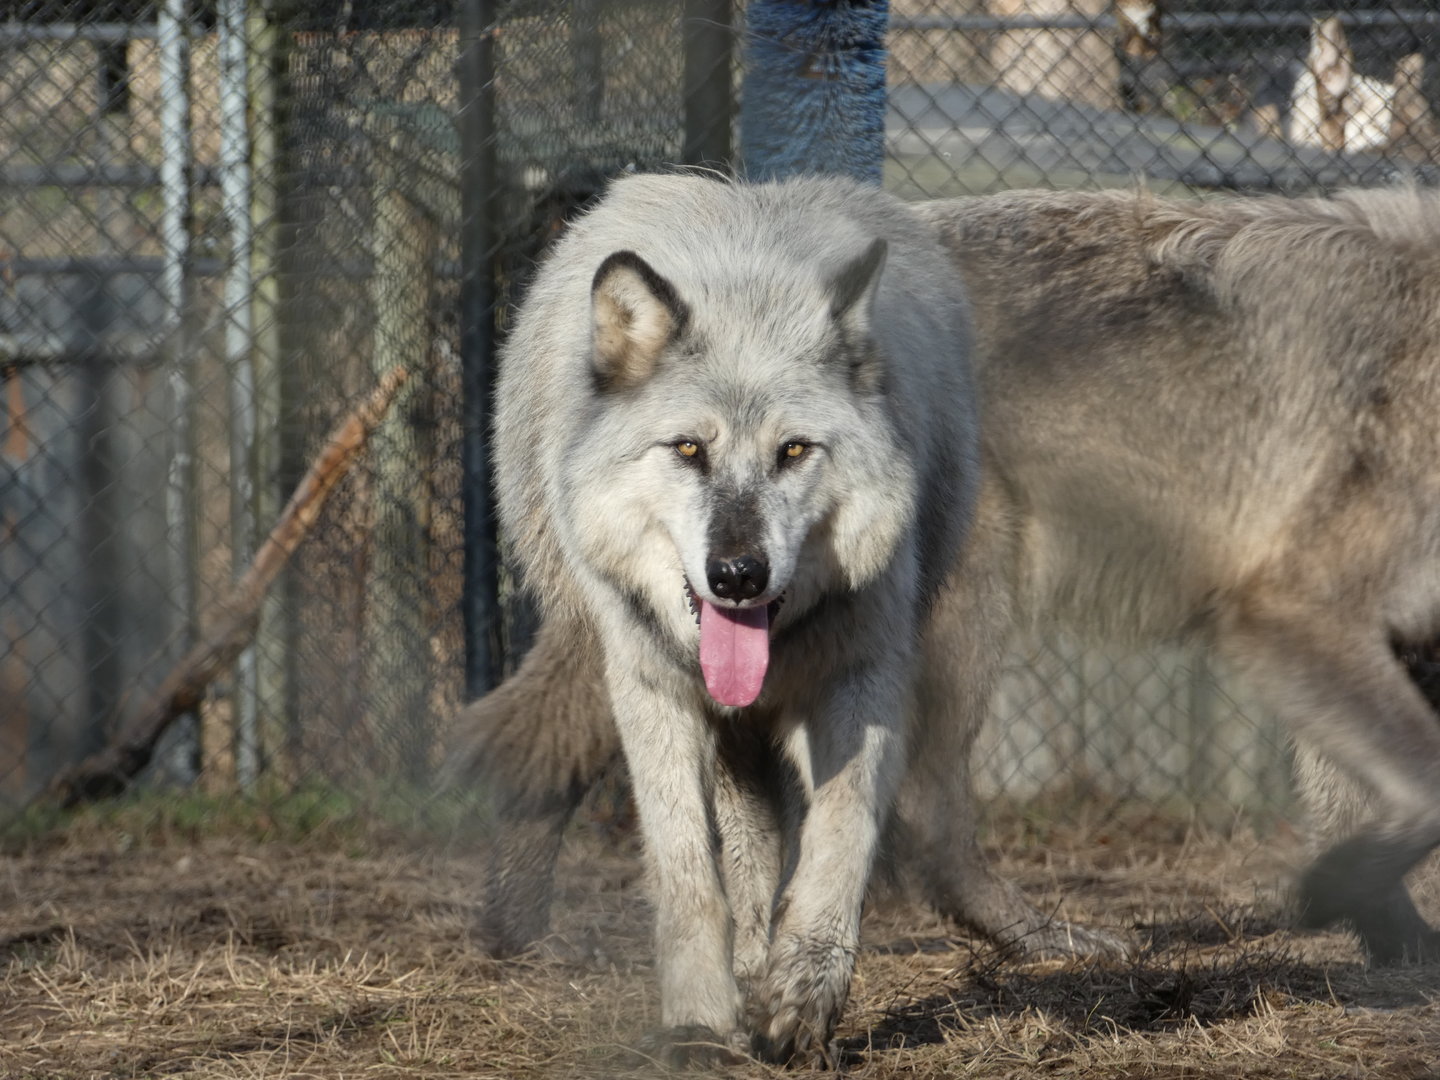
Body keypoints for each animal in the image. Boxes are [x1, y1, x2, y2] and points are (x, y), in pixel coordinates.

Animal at [461, 183, 1440, 1003]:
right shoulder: (1297, 612)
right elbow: (1419, 793)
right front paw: (1358, 908)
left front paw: (1388, 931)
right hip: (959, 611)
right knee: (922, 813)